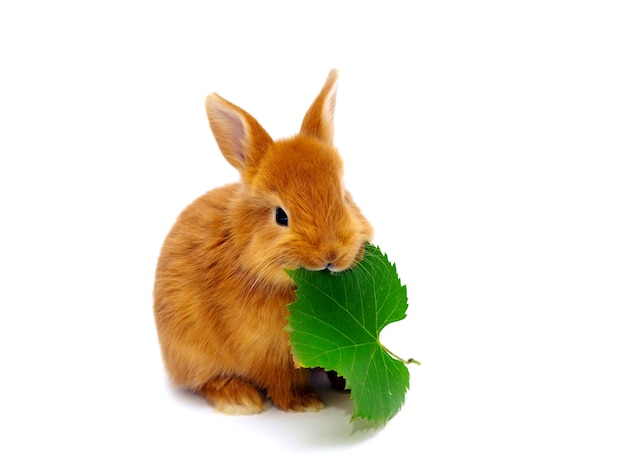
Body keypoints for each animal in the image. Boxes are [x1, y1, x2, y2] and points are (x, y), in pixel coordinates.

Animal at [153, 69, 372, 416]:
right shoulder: (266, 352)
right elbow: (280, 378)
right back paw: (238, 398)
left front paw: (344, 385)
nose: (331, 254)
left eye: (344, 197)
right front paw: (303, 403)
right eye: (281, 216)